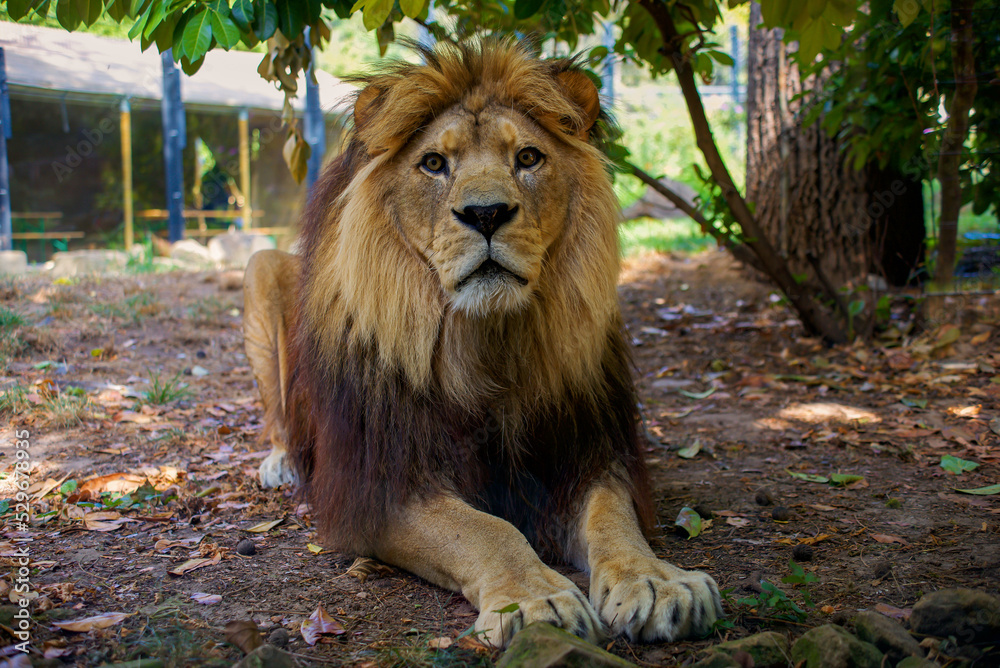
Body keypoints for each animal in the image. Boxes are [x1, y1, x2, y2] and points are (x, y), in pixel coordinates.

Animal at [242, 38, 722, 648]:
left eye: (528, 158)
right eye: (434, 164)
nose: (486, 213)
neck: (487, 339)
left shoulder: (582, 451)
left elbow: (614, 520)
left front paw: (658, 582)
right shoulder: (380, 485)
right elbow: (485, 530)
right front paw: (533, 599)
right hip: (262, 268)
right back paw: (281, 464)